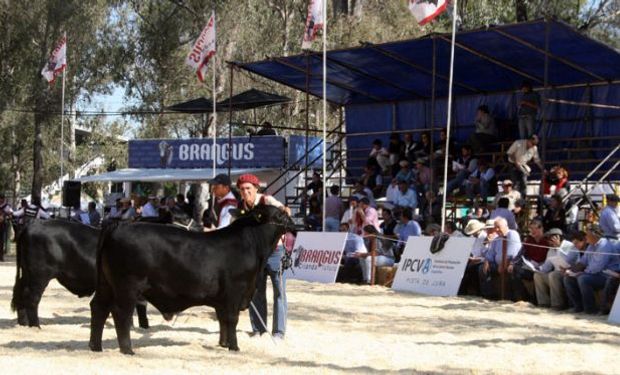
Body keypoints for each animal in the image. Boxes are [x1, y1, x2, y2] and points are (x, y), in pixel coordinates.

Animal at [11, 220, 150, 328]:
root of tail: (32, 224)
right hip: (39, 275)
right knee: (32, 298)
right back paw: (36, 326)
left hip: (27, 274)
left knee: (20, 294)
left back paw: (23, 324)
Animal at [88, 204, 298, 354]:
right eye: (280, 215)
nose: (294, 224)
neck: (252, 243)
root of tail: (120, 224)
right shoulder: (235, 290)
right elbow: (232, 318)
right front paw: (234, 347)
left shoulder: (224, 298)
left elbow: (222, 318)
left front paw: (223, 343)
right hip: (127, 286)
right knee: (120, 313)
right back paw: (127, 349)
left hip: (106, 284)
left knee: (98, 307)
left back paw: (95, 346)